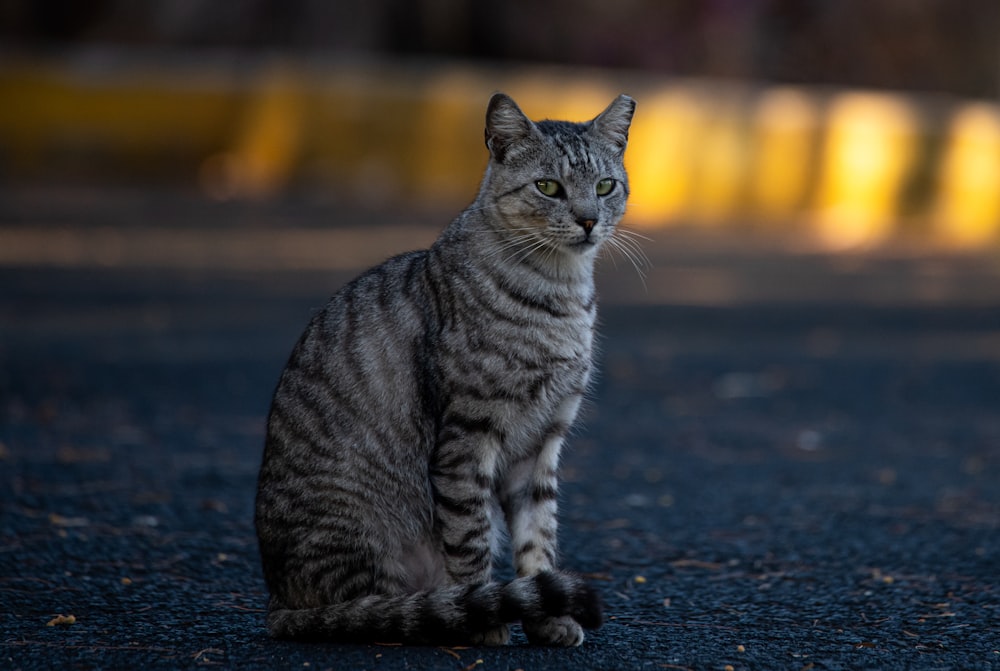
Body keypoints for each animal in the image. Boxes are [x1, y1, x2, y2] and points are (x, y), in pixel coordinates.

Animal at [254, 92, 636, 648]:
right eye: (548, 187)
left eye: (605, 186)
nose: (588, 220)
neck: (560, 295)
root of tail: (276, 601)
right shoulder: (466, 438)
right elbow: (471, 538)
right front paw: (485, 618)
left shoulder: (542, 445)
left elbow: (538, 541)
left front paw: (546, 619)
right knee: (373, 607)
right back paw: (435, 611)